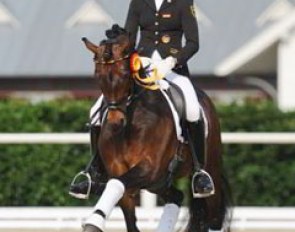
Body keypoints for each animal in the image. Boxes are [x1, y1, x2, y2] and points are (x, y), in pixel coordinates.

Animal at [81, 26, 234, 232]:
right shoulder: (121, 170)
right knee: (176, 196)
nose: (115, 121)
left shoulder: (149, 168)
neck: (131, 125)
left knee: (214, 215)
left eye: (125, 74)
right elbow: (123, 204)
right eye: (98, 76)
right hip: (158, 182)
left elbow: (115, 184)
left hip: (209, 171)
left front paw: (93, 222)